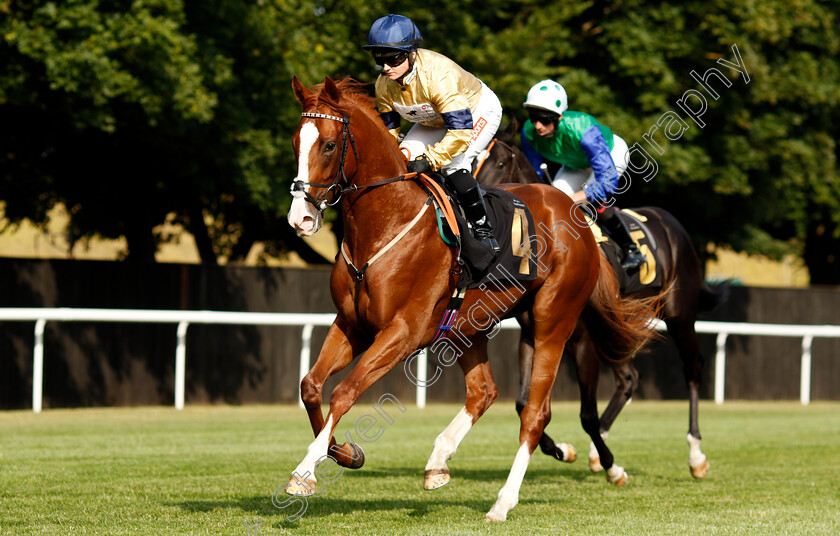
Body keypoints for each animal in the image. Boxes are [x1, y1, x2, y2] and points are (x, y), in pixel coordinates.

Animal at [286, 77, 660, 520]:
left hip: (554, 321)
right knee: (484, 392)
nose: (300, 218)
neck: (385, 223)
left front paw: (305, 470)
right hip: (468, 324)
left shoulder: (402, 332)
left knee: (535, 413)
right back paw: (438, 462)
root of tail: (575, 215)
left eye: (328, 145)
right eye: (296, 141)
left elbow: (344, 392)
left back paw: (503, 501)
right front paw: (342, 452)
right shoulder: (351, 324)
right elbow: (311, 386)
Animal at [472, 120, 728, 482]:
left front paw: (610, 465)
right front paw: (563, 450)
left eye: (499, 162)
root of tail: (672, 224)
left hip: (679, 315)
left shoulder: (582, 341)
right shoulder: (532, 334)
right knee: (628, 379)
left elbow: (586, 414)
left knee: (692, 369)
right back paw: (597, 450)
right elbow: (523, 403)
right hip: (617, 325)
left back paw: (695, 456)